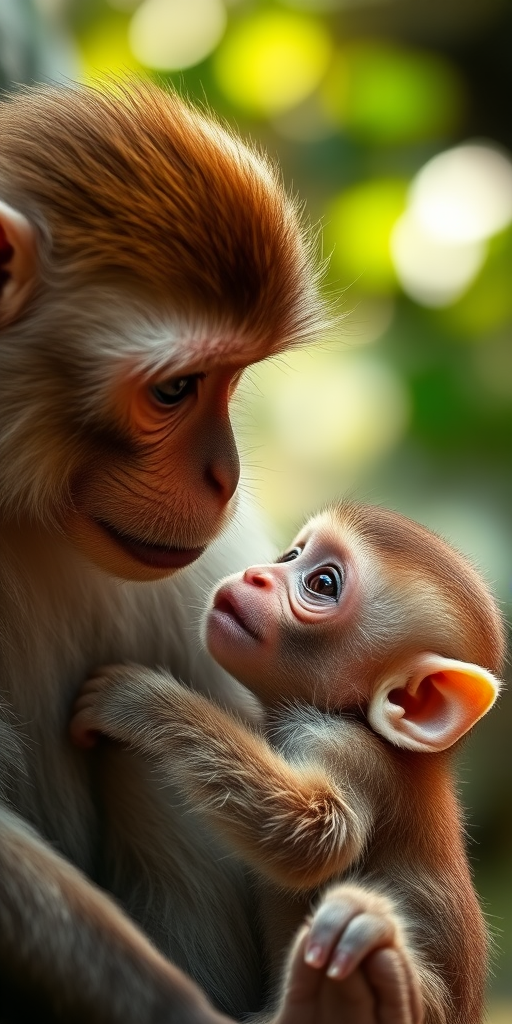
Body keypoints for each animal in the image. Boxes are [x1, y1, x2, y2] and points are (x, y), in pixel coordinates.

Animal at [70, 501, 505, 1024]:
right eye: (291, 556)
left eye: (323, 583)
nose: (256, 575)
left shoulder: (346, 747)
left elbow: (317, 835)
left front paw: (138, 702)